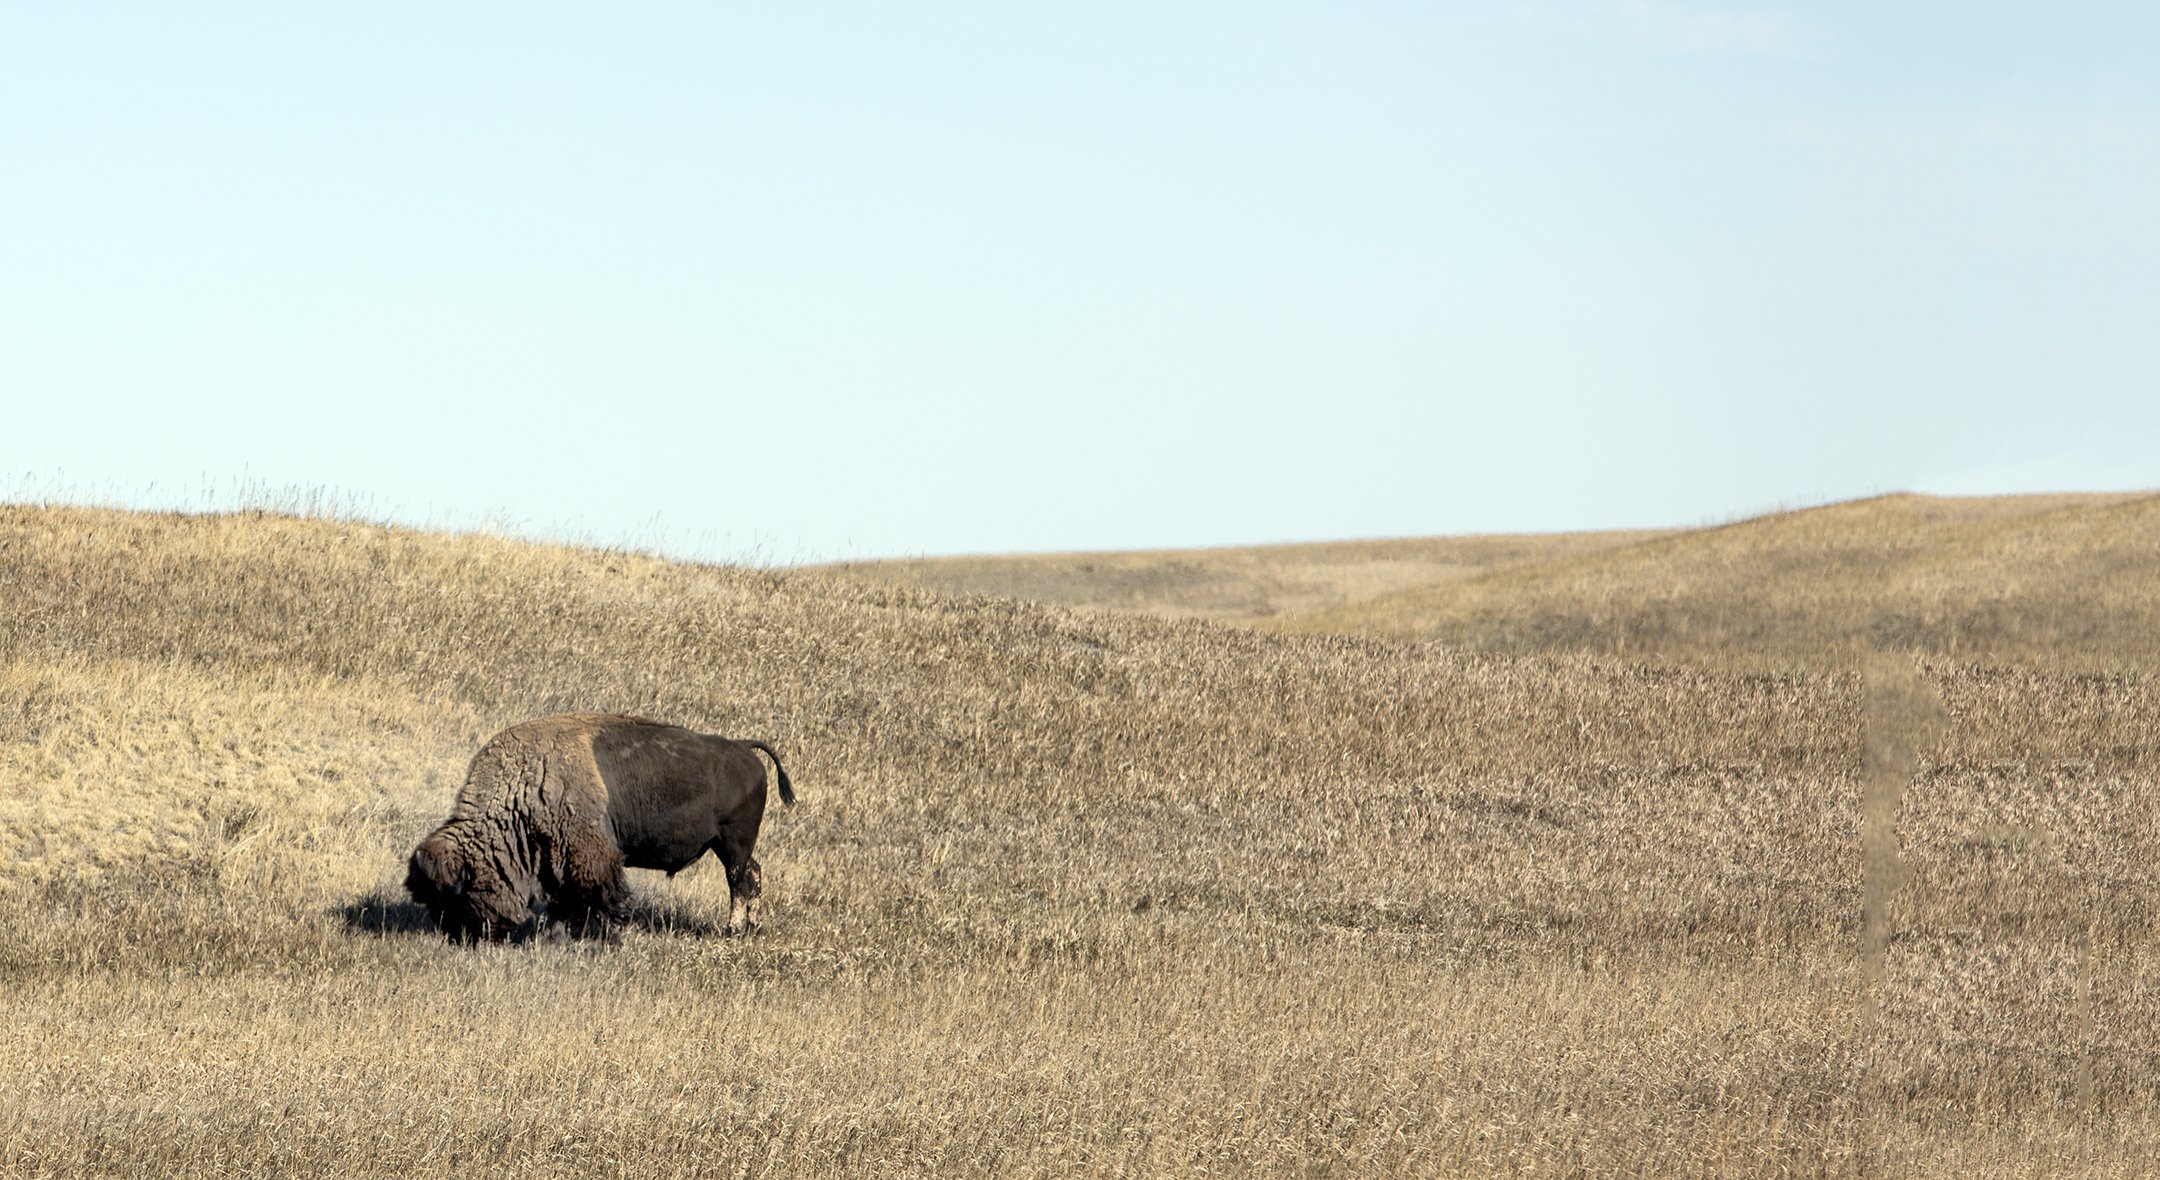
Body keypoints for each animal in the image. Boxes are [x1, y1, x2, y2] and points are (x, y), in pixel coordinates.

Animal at [405, 713, 796, 942]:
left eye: (457, 893)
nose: (456, 935)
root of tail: (744, 749)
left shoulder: (591, 857)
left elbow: (600, 897)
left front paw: (603, 935)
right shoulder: (558, 858)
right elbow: (565, 899)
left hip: (733, 843)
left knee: (740, 881)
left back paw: (733, 931)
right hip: (727, 845)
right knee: (753, 874)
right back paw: (751, 928)